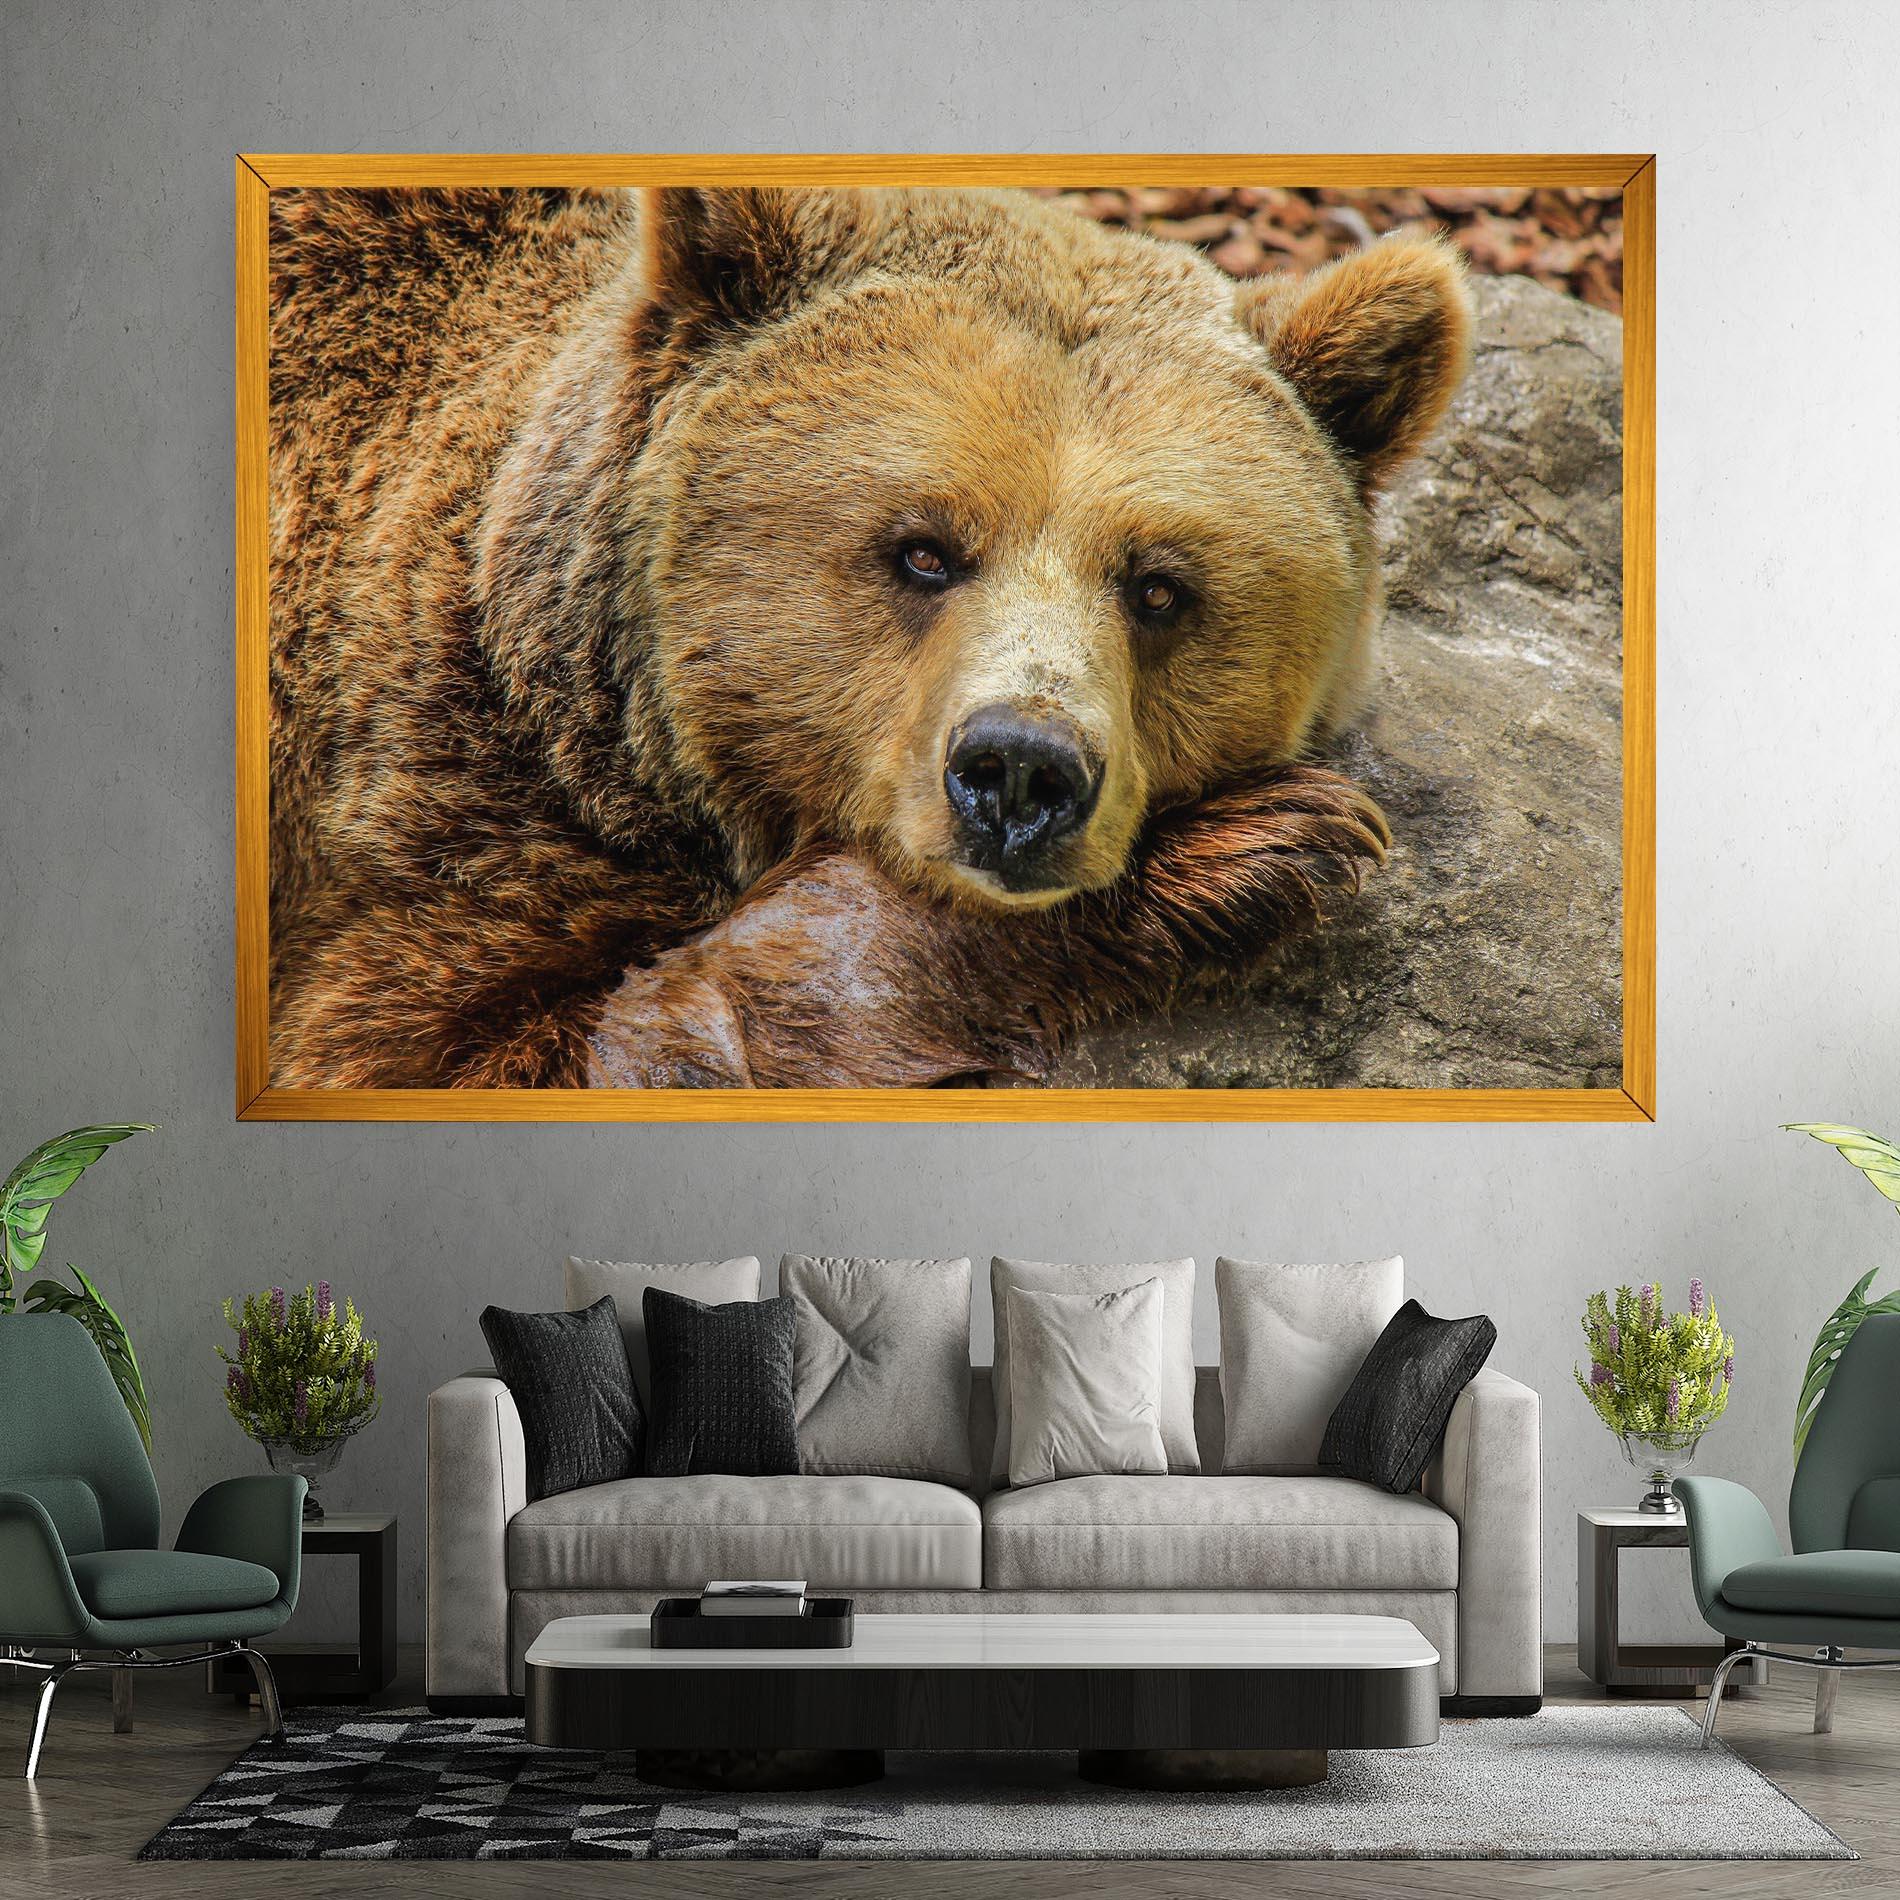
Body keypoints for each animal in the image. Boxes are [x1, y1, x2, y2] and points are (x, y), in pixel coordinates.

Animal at [265, 185, 1471, 1089]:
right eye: (923, 550)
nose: (1019, 772)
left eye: (1159, 587)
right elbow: (505, 1047)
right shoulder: (442, 813)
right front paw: (1250, 848)